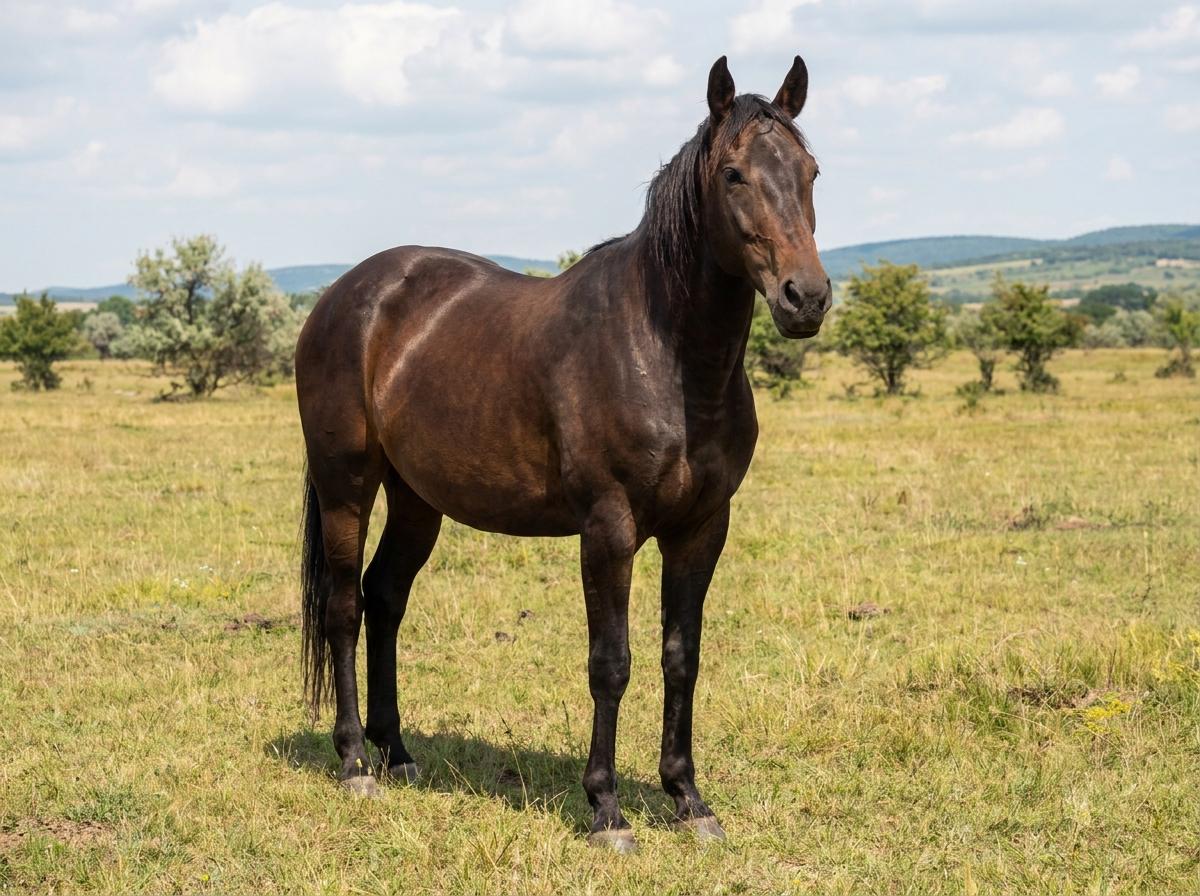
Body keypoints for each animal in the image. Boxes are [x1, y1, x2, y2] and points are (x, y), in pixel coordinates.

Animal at [295, 55, 831, 853]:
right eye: (734, 174)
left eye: (810, 171)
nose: (807, 297)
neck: (667, 356)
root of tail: (343, 295)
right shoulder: (607, 529)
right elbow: (611, 663)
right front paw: (606, 809)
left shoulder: (702, 528)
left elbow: (682, 656)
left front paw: (689, 800)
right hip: (346, 485)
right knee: (343, 608)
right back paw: (357, 760)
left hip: (418, 498)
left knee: (385, 597)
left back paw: (400, 753)